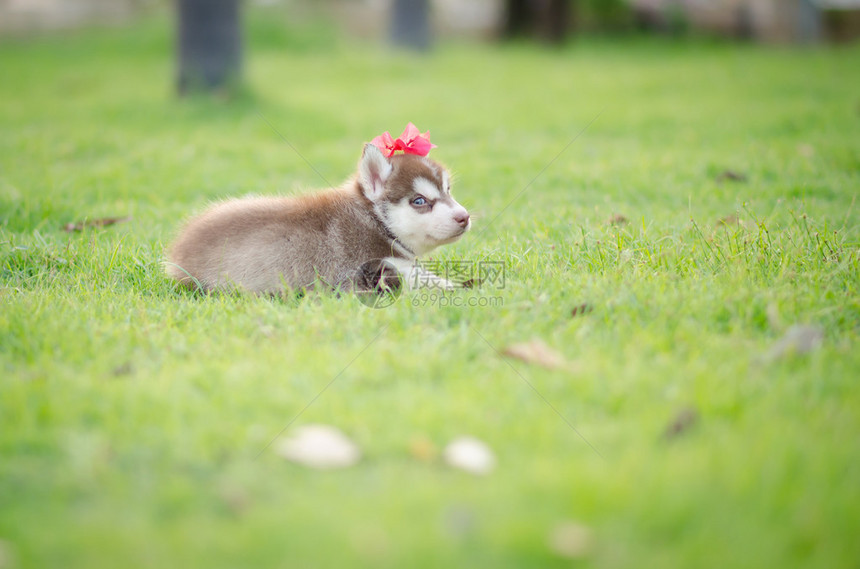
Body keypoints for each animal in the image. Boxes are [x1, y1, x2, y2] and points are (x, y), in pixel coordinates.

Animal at [161, 143, 470, 292]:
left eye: (448, 190)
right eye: (419, 201)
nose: (464, 217)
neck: (373, 220)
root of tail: (179, 253)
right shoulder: (366, 269)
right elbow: (419, 278)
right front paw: (455, 288)